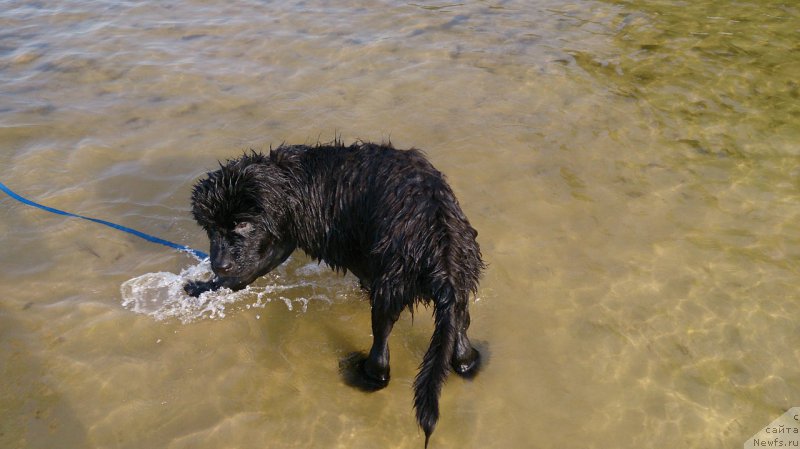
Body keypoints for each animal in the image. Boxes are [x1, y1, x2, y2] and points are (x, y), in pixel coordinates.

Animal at [185, 141, 484, 444]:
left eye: (242, 224)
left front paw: (203, 287)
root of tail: (441, 251)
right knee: (460, 333)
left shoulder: (285, 235)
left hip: (391, 287)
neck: (289, 181)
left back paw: (361, 372)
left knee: (381, 350)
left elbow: (249, 270)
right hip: (459, 289)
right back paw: (466, 360)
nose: (219, 264)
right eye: (211, 228)